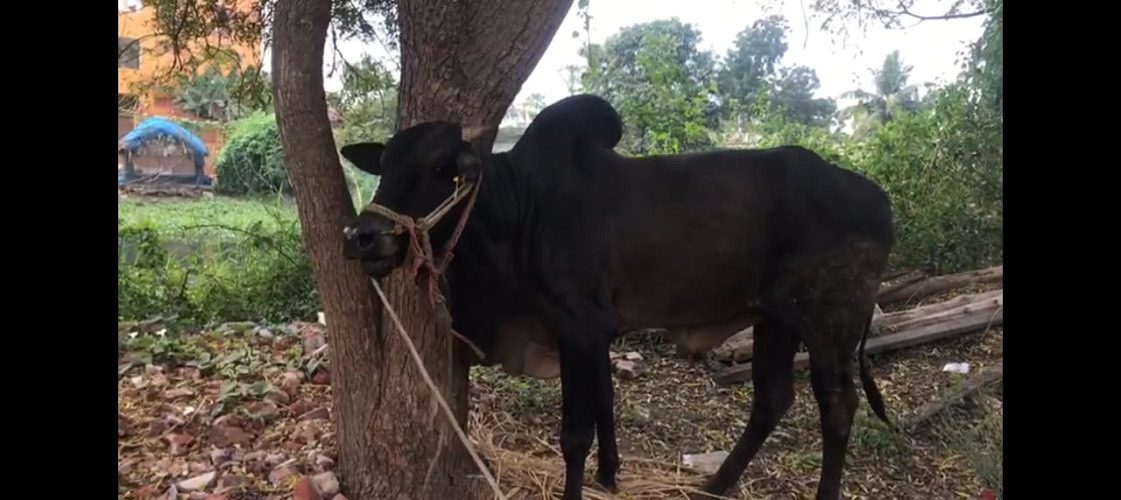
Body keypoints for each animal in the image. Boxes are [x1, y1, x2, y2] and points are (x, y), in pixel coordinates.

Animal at [338, 94, 895, 500]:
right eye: (384, 165)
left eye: (441, 170)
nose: (362, 237)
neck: (518, 210)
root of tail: (878, 198)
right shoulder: (593, 334)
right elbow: (605, 403)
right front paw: (609, 477)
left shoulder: (580, 328)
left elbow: (575, 434)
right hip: (774, 319)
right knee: (772, 400)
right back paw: (716, 485)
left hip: (829, 326)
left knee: (837, 407)